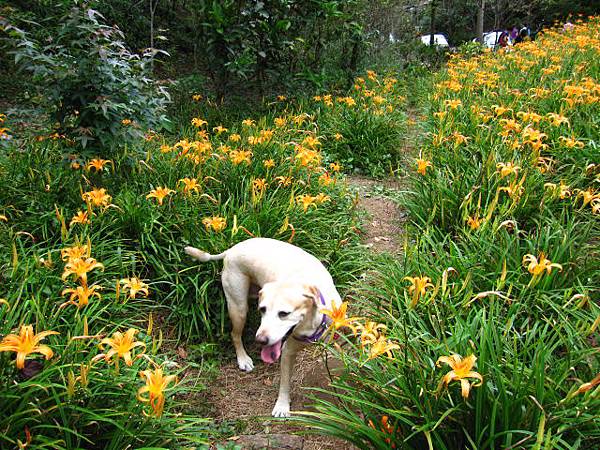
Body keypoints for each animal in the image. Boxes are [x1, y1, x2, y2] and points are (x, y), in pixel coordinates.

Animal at [185, 237, 340, 416]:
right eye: (262, 310)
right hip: (238, 308)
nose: (260, 340)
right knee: (235, 334)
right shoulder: (287, 352)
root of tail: (232, 249)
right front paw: (282, 406)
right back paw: (243, 359)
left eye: (284, 313)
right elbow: (285, 383)